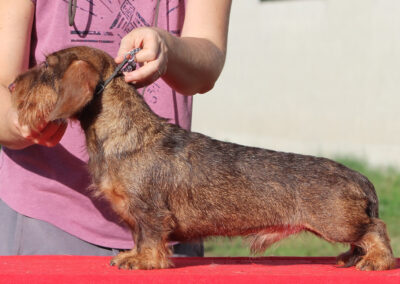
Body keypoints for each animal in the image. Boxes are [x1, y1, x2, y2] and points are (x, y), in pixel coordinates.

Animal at [10, 46, 396, 270]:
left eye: (46, 67)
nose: (11, 86)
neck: (127, 133)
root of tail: (358, 175)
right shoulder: (136, 216)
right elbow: (138, 237)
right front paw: (132, 255)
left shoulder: (150, 211)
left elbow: (150, 238)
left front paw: (145, 261)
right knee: (363, 235)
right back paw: (352, 257)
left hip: (336, 222)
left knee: (375, 228)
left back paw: (376, 261)